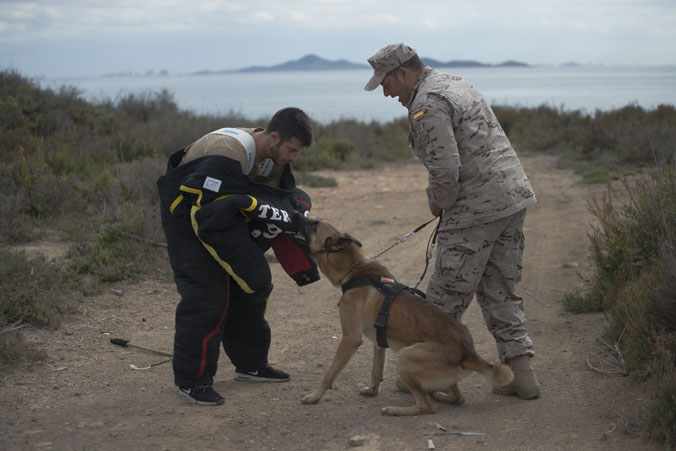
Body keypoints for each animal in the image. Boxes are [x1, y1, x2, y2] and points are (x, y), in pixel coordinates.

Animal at [290, 214, 512, 418]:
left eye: (313, 224)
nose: (295, 212)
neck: (355, 271)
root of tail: (468, 352)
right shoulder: (379, 342)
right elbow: (376, 370)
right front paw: (372, 390)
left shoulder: (350, 339)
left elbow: (329, 373)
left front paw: (314, 396)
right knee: (459, 398)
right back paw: (441, 395)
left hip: (405, 357)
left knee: (426, 407)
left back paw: (395, 410)